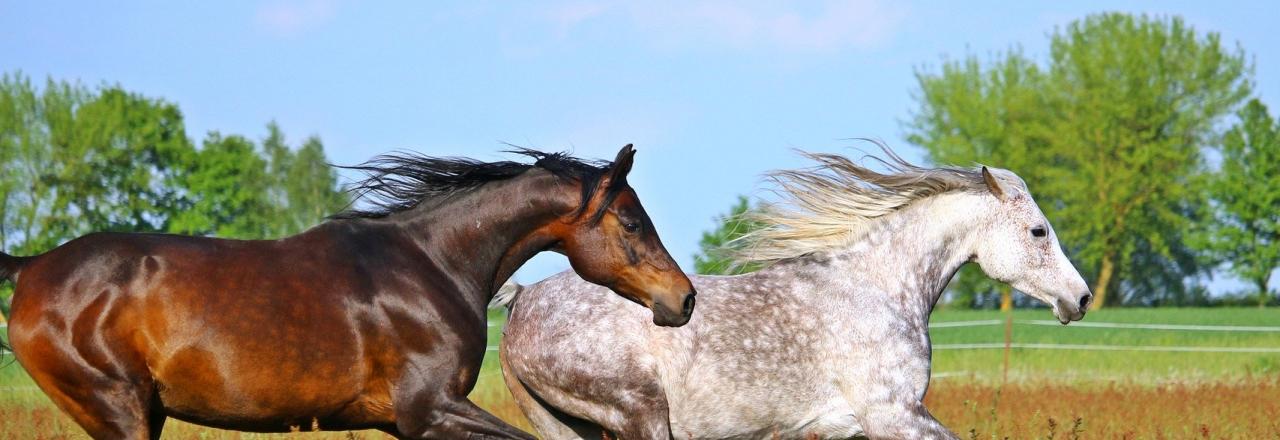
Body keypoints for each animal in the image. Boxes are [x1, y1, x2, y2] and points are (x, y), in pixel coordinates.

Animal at [0, 145, 691, 440]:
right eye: (632, 222)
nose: (682, 299)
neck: (432, 265)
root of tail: (31, 268)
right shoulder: (428, 411)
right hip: (116, 407)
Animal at [488, 149, 1090, 437]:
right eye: (1039, 232)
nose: (1080, 299)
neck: (876, 288)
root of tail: (522, 298)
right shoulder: (893, 414)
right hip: (642, 414)